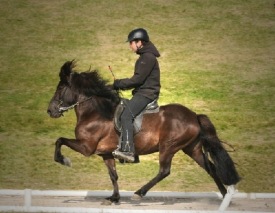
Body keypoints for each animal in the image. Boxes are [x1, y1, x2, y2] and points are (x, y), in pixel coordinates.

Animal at [46, 60, 240, 204]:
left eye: (60, 88)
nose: (50, 110)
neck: (95, 112)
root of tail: (193, 116)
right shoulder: (106, 153)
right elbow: (113, 175)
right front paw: (114, 198)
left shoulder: (86, 147)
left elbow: (59, 140)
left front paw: (64, 160)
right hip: (192, 148)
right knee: (210, 167)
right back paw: (224, 196)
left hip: (168, 147)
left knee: (164, 171)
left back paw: (139, 192)